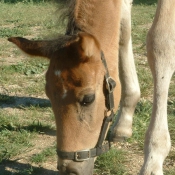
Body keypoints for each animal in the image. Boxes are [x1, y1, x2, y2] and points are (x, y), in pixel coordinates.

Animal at [7, 0, 174, 175]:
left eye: (88, 99)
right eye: (49, 95)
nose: (69, 170)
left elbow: (161, 42)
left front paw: (153, 159)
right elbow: (123, 34)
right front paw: (123, 124)